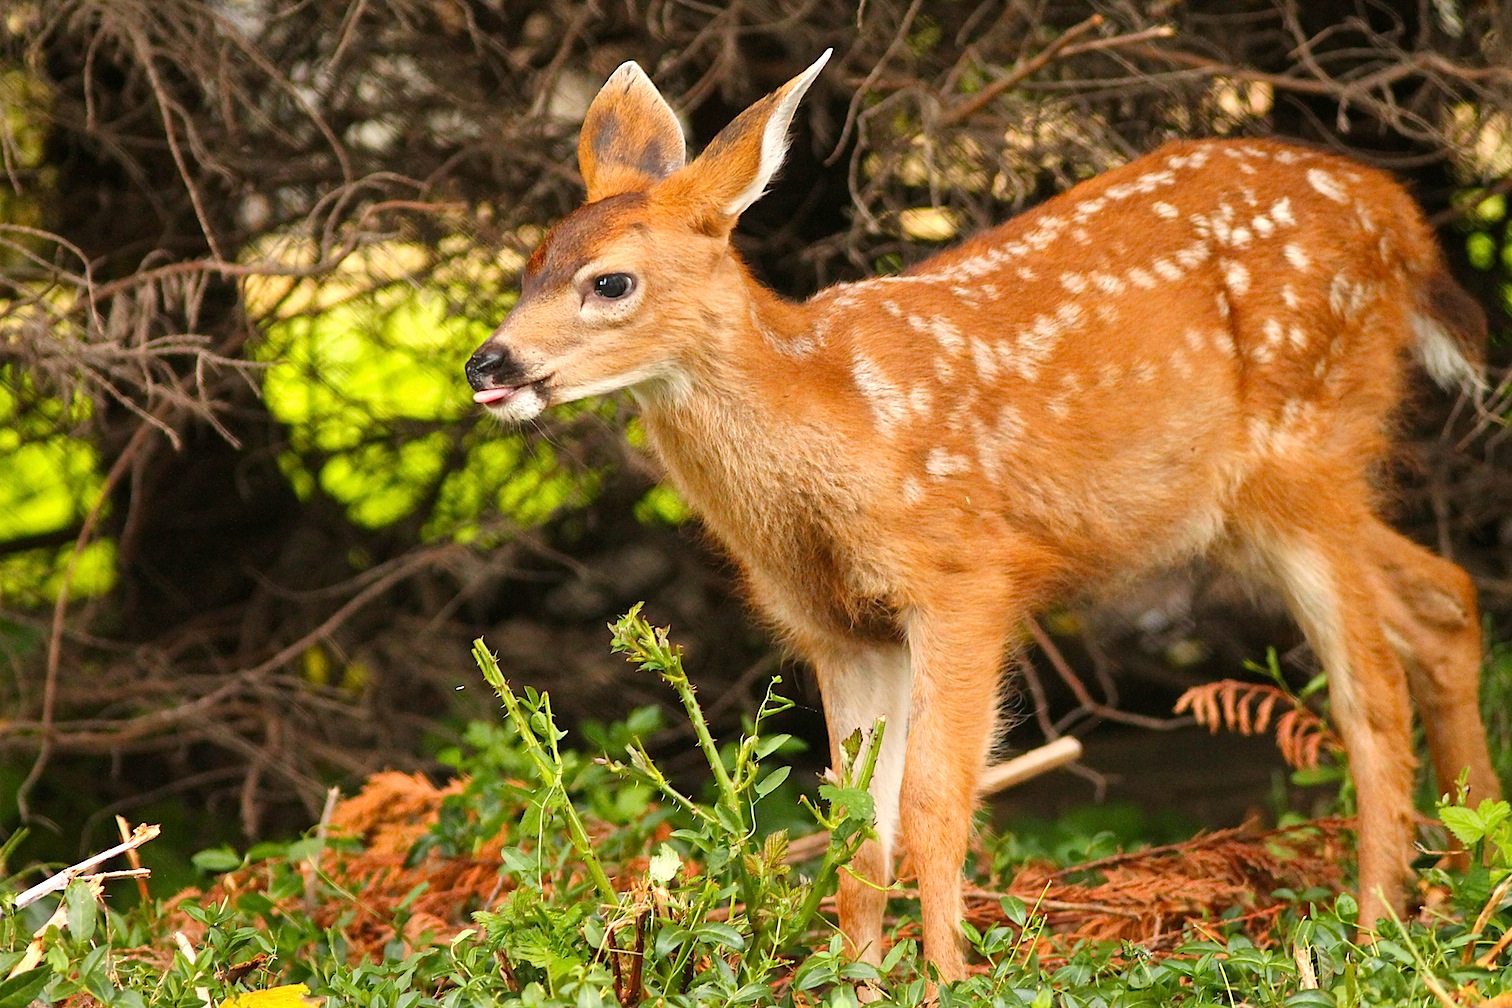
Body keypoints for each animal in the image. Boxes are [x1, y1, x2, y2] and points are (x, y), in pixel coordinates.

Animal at [465, 51, 1502, 981]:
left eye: (609, 282)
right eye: (529, 267)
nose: (488, 363)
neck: (837, 434)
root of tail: (1403, 219)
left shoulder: (964, 575)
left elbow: (935, 804)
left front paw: (948, 980)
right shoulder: (841, 631)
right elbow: (855, 831)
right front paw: (857, 985)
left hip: (1307, 450)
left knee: (1371, 689)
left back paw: (1376, 932)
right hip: (1251, 508)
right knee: (1444, 599)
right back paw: (1474, 875)